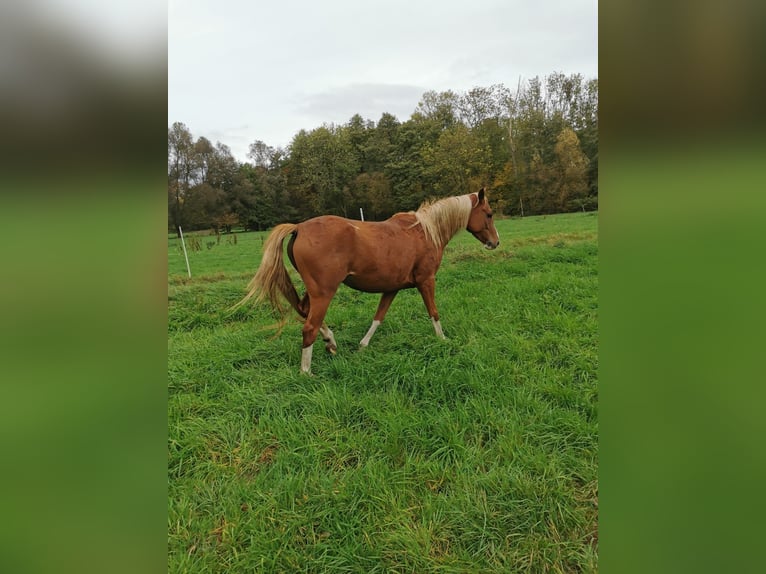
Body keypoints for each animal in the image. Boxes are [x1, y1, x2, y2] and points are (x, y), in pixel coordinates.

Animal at [240, 189, 504, 376]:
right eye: (489, 214)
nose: (495, 242)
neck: (425, 231)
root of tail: (299, 228)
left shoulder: (392, 288)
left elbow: (379, 316)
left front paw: (363, 345)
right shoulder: (426, 281)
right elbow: (433, 312)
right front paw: (443, 340)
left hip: (315, 292)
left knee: (304, 311)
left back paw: (330, 341)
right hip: (324, 293)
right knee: (309, 327)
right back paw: (306, 372)